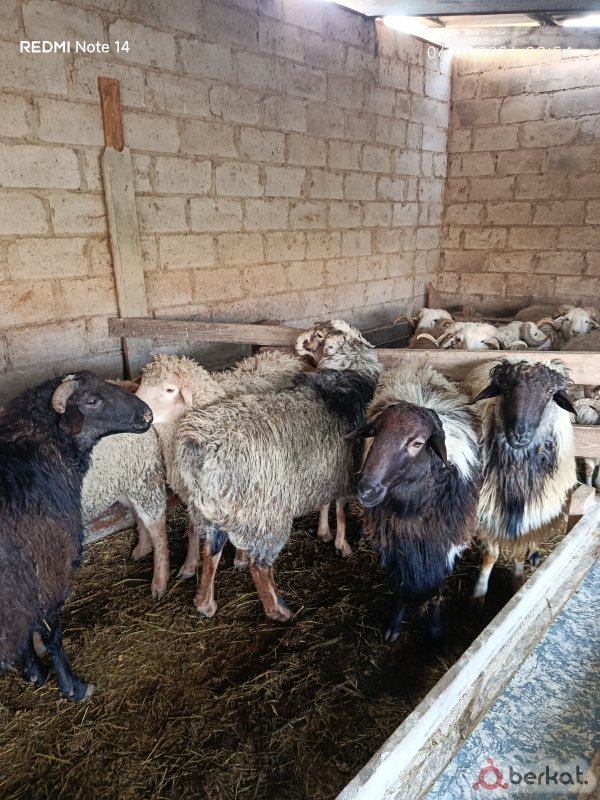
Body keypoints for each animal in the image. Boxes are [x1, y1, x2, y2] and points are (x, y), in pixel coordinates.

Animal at [0, 372, 152, 701]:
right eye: (91, 401)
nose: (148, 415)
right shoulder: (47, 574)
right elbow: (51, 635)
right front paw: (73, 688)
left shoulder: (26, 585)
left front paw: (34, 674)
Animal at [170, 335, 382, 622]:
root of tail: (200, 445)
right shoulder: (348, 473)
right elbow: (341, 507)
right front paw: (342, 544)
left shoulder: (325, 470)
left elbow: (327, 502)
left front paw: (324, 532)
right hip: (267, 516)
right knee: (258, 564)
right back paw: (279, 610)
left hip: (211, 510)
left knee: (210, 551)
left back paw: (205, 603)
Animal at [348, 362, 482, 643]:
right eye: (375, 435)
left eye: (418, 443)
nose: (366, 490)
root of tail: (415, 363)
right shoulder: (395, 544)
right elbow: (400, 587)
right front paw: (394, 624)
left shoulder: (444, 542)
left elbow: (436, 589)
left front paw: (435, 629)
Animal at [465, 358, 577, 603]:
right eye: (504, 389)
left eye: (550, 392)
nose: (520, 434)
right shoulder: (487, 514)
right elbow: (490, 555)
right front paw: (478, 594)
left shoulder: (531, 516)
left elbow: (518, 553)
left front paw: (517, 582)